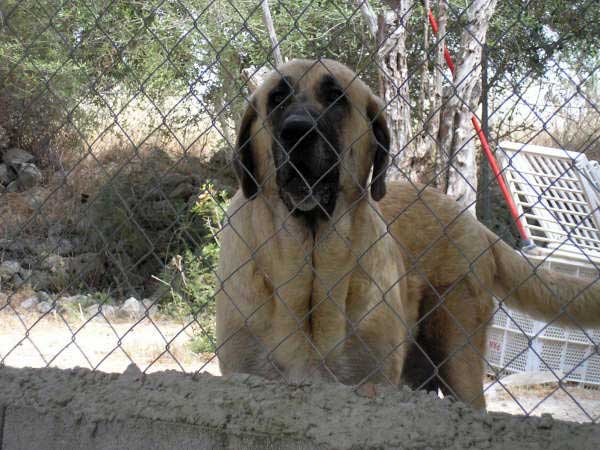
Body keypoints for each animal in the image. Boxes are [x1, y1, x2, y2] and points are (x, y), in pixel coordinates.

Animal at [216, 59, 600, 408]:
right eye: (277, 97)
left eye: (336, 97)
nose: (296, 131)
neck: (310, 266)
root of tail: (471, 222)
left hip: (458, 359)